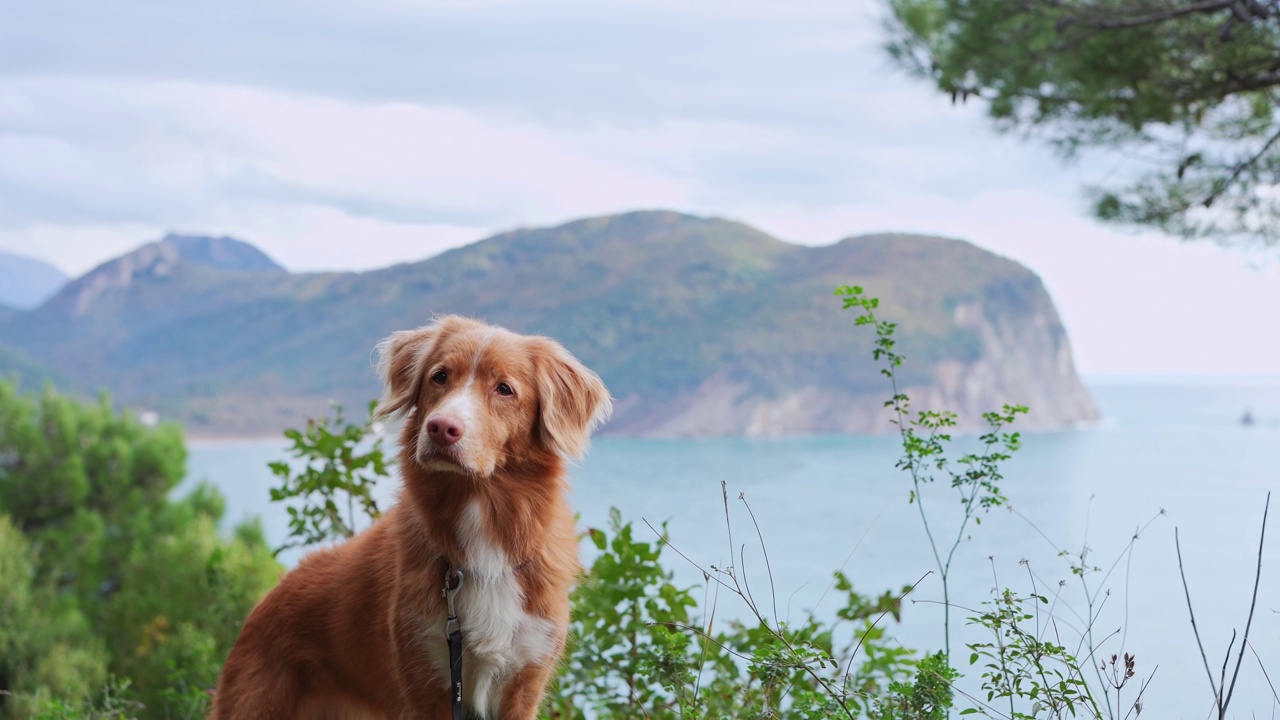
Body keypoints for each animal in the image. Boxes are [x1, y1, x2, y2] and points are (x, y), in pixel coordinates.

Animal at [209, 315, 609, 717]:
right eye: (440, 376)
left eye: (504, 389)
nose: (441, 428)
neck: (481, 521)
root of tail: (265, 602)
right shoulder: (424, 675)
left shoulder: (525, 679)